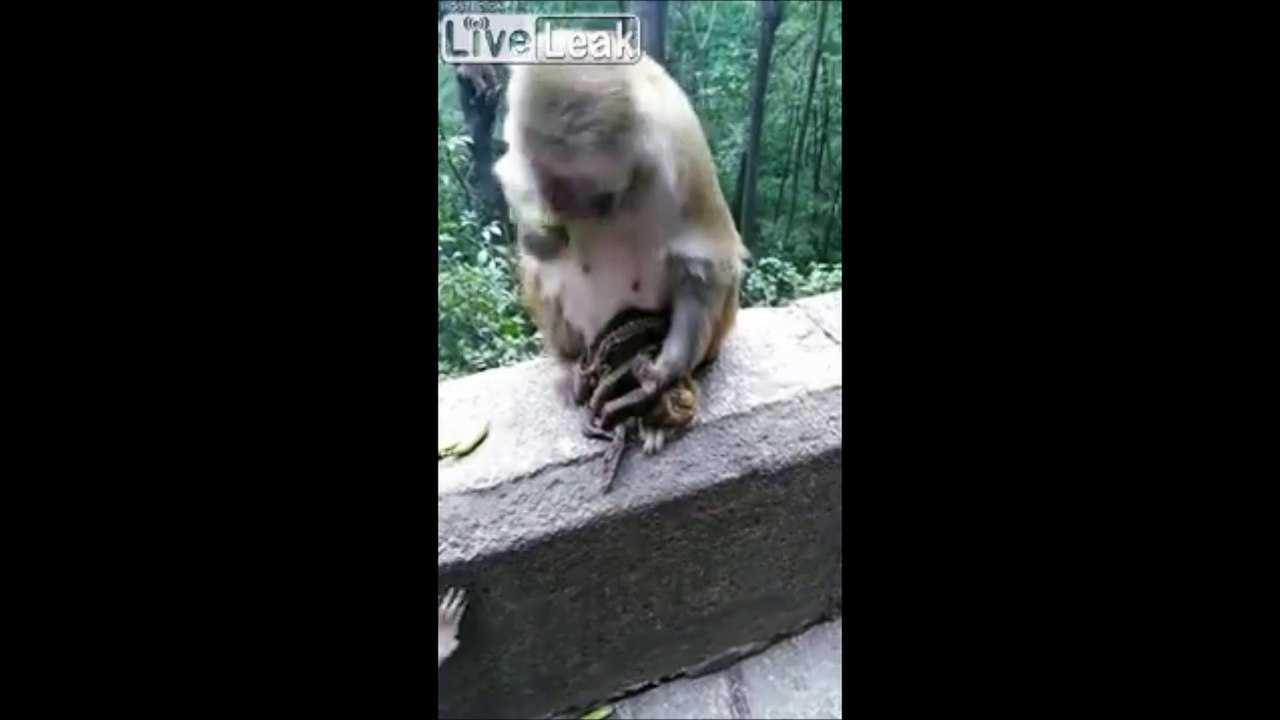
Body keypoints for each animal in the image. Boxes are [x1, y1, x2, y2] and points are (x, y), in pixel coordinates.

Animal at [492, 53, 747, 453]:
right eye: (540, 173)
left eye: (565, 181)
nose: (554, 202)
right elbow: (509, 169)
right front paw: (538, 233)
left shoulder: (681, 151)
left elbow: (704, 265)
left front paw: (665, 371)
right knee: (539, 270)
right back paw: (568, 362)